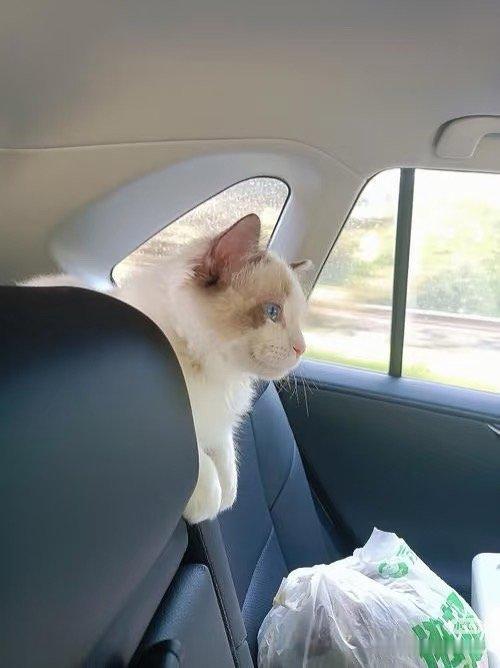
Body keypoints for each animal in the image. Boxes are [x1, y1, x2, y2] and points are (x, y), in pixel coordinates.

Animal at [23, 214, 311, 524]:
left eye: (298, 320)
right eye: (273, 312)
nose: (302, 348)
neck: (211, 368)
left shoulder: (219, 422)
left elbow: (227, 464)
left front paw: (226, 496)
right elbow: (202, 464)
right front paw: (206, 505)